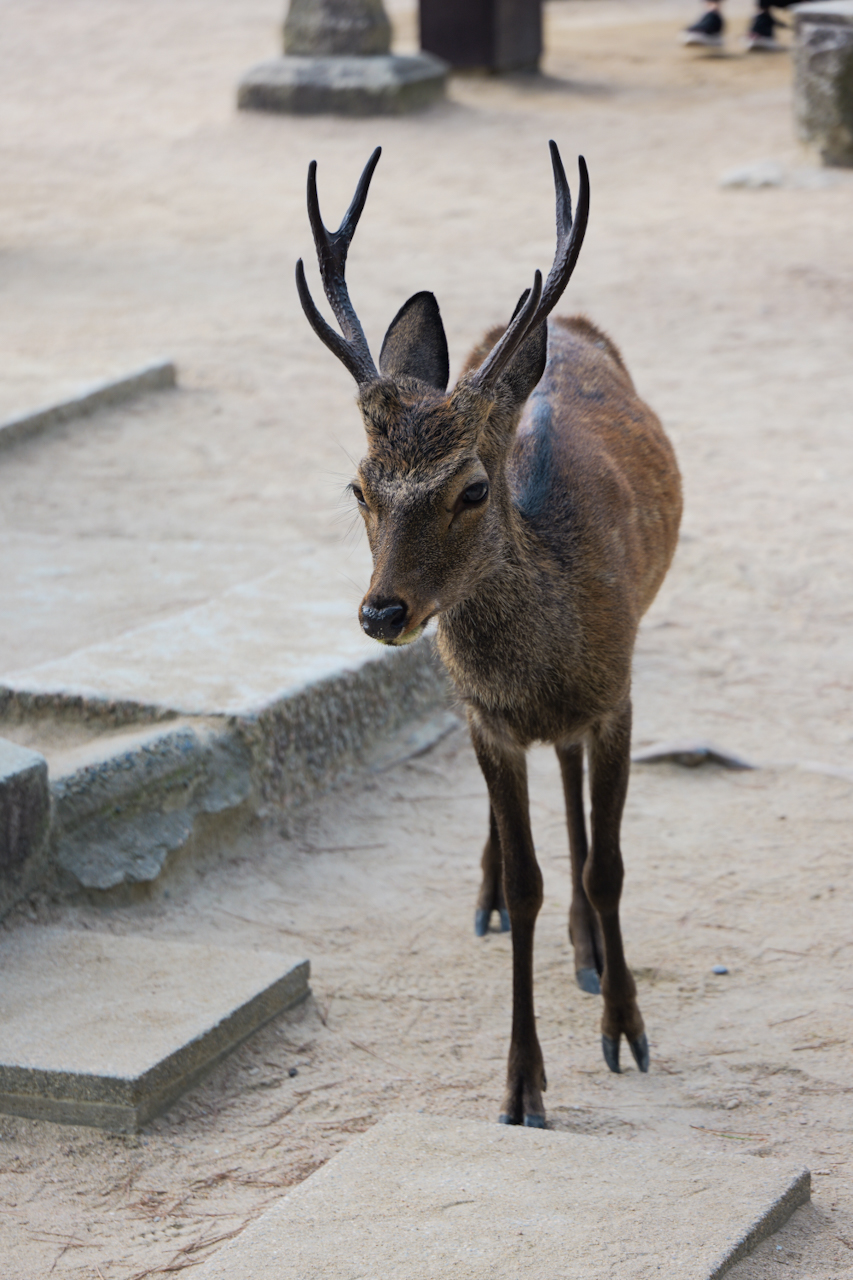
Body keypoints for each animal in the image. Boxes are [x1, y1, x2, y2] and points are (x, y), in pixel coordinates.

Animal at [295, 140, 681, 1126]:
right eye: (358, 485)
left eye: (472, 488)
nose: (381, 612)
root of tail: (565, 321)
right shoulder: (485, 720)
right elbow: (526, 876)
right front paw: (519, 1086)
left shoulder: (619, 695)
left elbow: (608, 865)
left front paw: (625, 1031)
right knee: (524, 837)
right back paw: (500, 905)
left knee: (574, 785)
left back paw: (591, 955)